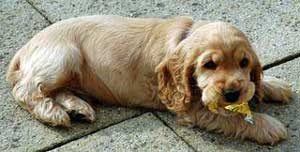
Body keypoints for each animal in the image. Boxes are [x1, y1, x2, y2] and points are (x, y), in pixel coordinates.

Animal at [6, 15, 292, 145]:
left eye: (244, 63)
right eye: (209, 65)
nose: (232, 94)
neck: (186, 37)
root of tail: (24, 48)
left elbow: (254, 83)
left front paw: (274, 85)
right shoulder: (193, 108)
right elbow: (231, 117)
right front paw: (268, 126)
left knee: (56, 90)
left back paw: (78, 109)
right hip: (63, 57)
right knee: (26, 89)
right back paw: (53, 113)